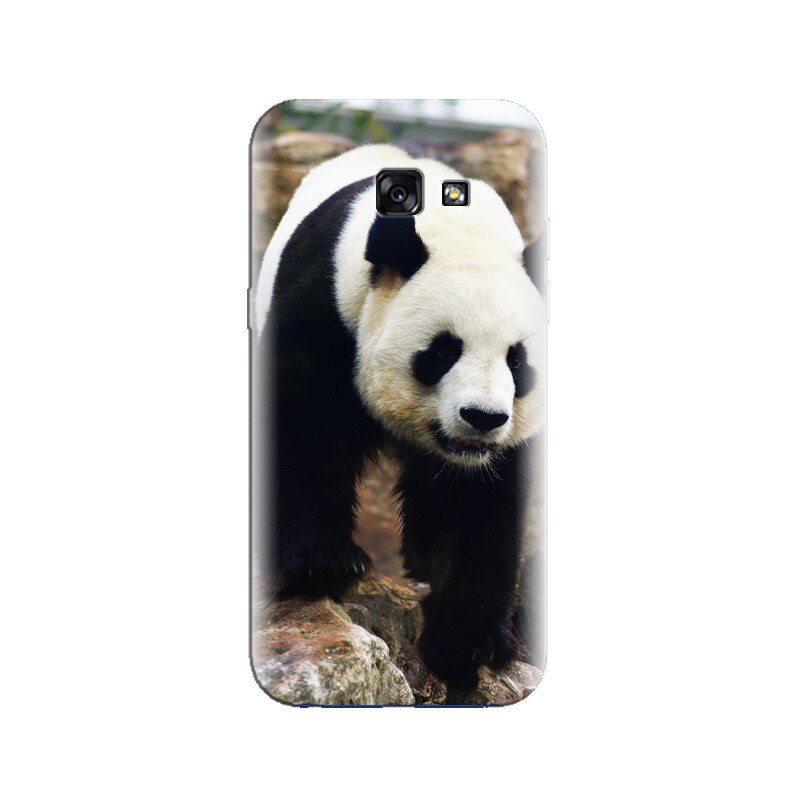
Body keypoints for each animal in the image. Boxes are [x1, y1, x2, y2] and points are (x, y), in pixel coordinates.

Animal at [253, 144, 546, 690]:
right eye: (443, 350)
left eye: (517, 360)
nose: (481, 417)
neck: (455, 224)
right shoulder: (327, 308)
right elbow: (304, 427)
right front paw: (322, 563)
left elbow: (478, 501)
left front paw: (468, 640)